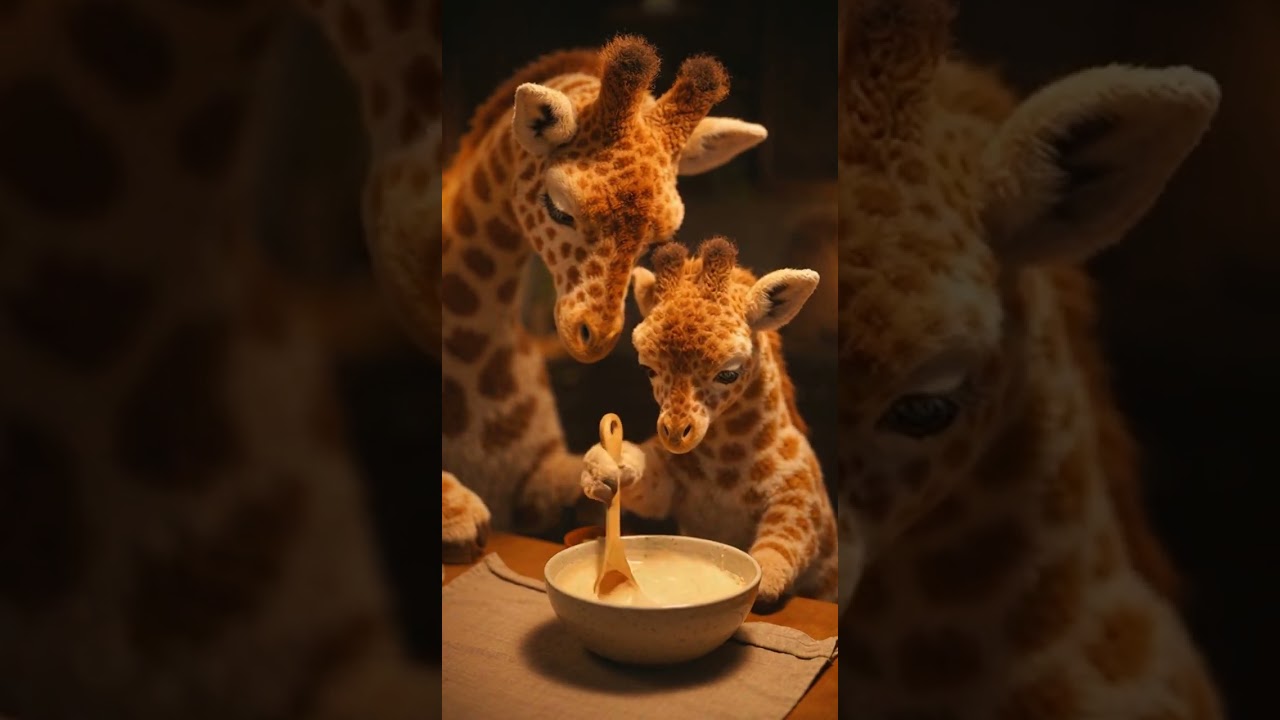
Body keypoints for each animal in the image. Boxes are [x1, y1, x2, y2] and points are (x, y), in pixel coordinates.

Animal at [580, 237, 838, 610]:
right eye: (648, 369)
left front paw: (761, 583)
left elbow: (784, 542)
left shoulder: (800, 498)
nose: (675, 434)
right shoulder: (672, 487)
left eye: (728, 373)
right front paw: (602, 469)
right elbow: (643, 477)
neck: (725, 473)